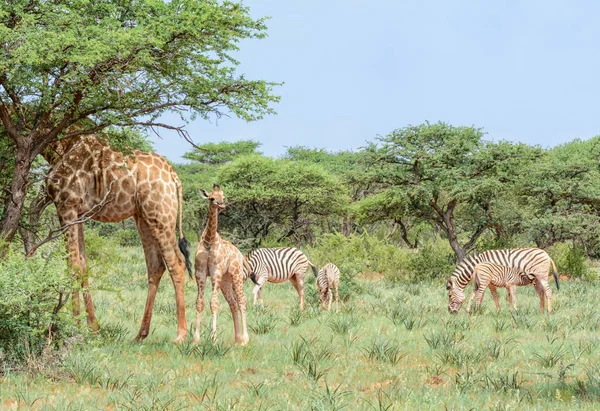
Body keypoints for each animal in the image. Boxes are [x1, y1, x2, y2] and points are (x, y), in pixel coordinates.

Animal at [43, 134, 191, 342]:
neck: (60, 145)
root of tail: (173, 176)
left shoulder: (66, 205)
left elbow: (72, 267)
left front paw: (74, 327)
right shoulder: (79, 213)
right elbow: (83, 265)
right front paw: (93, 329)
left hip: (161, 216)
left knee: (176, 263)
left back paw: (181, 335)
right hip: (143, 217)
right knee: (155, 265)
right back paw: (140, 334)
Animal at [193, 185, 247, 346]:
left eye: (223, 196)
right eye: (212, 198)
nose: (222, 205)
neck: (209, 241)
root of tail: (240, 255)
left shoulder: (215, 272)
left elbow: (214, 303)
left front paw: (213, 339)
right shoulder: (200, 273)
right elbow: (200, 303)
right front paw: (195, 339)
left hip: (236, 274)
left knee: (242, 300)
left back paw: (245, 339)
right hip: (225, 280)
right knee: (232, 303)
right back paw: (237, 338)